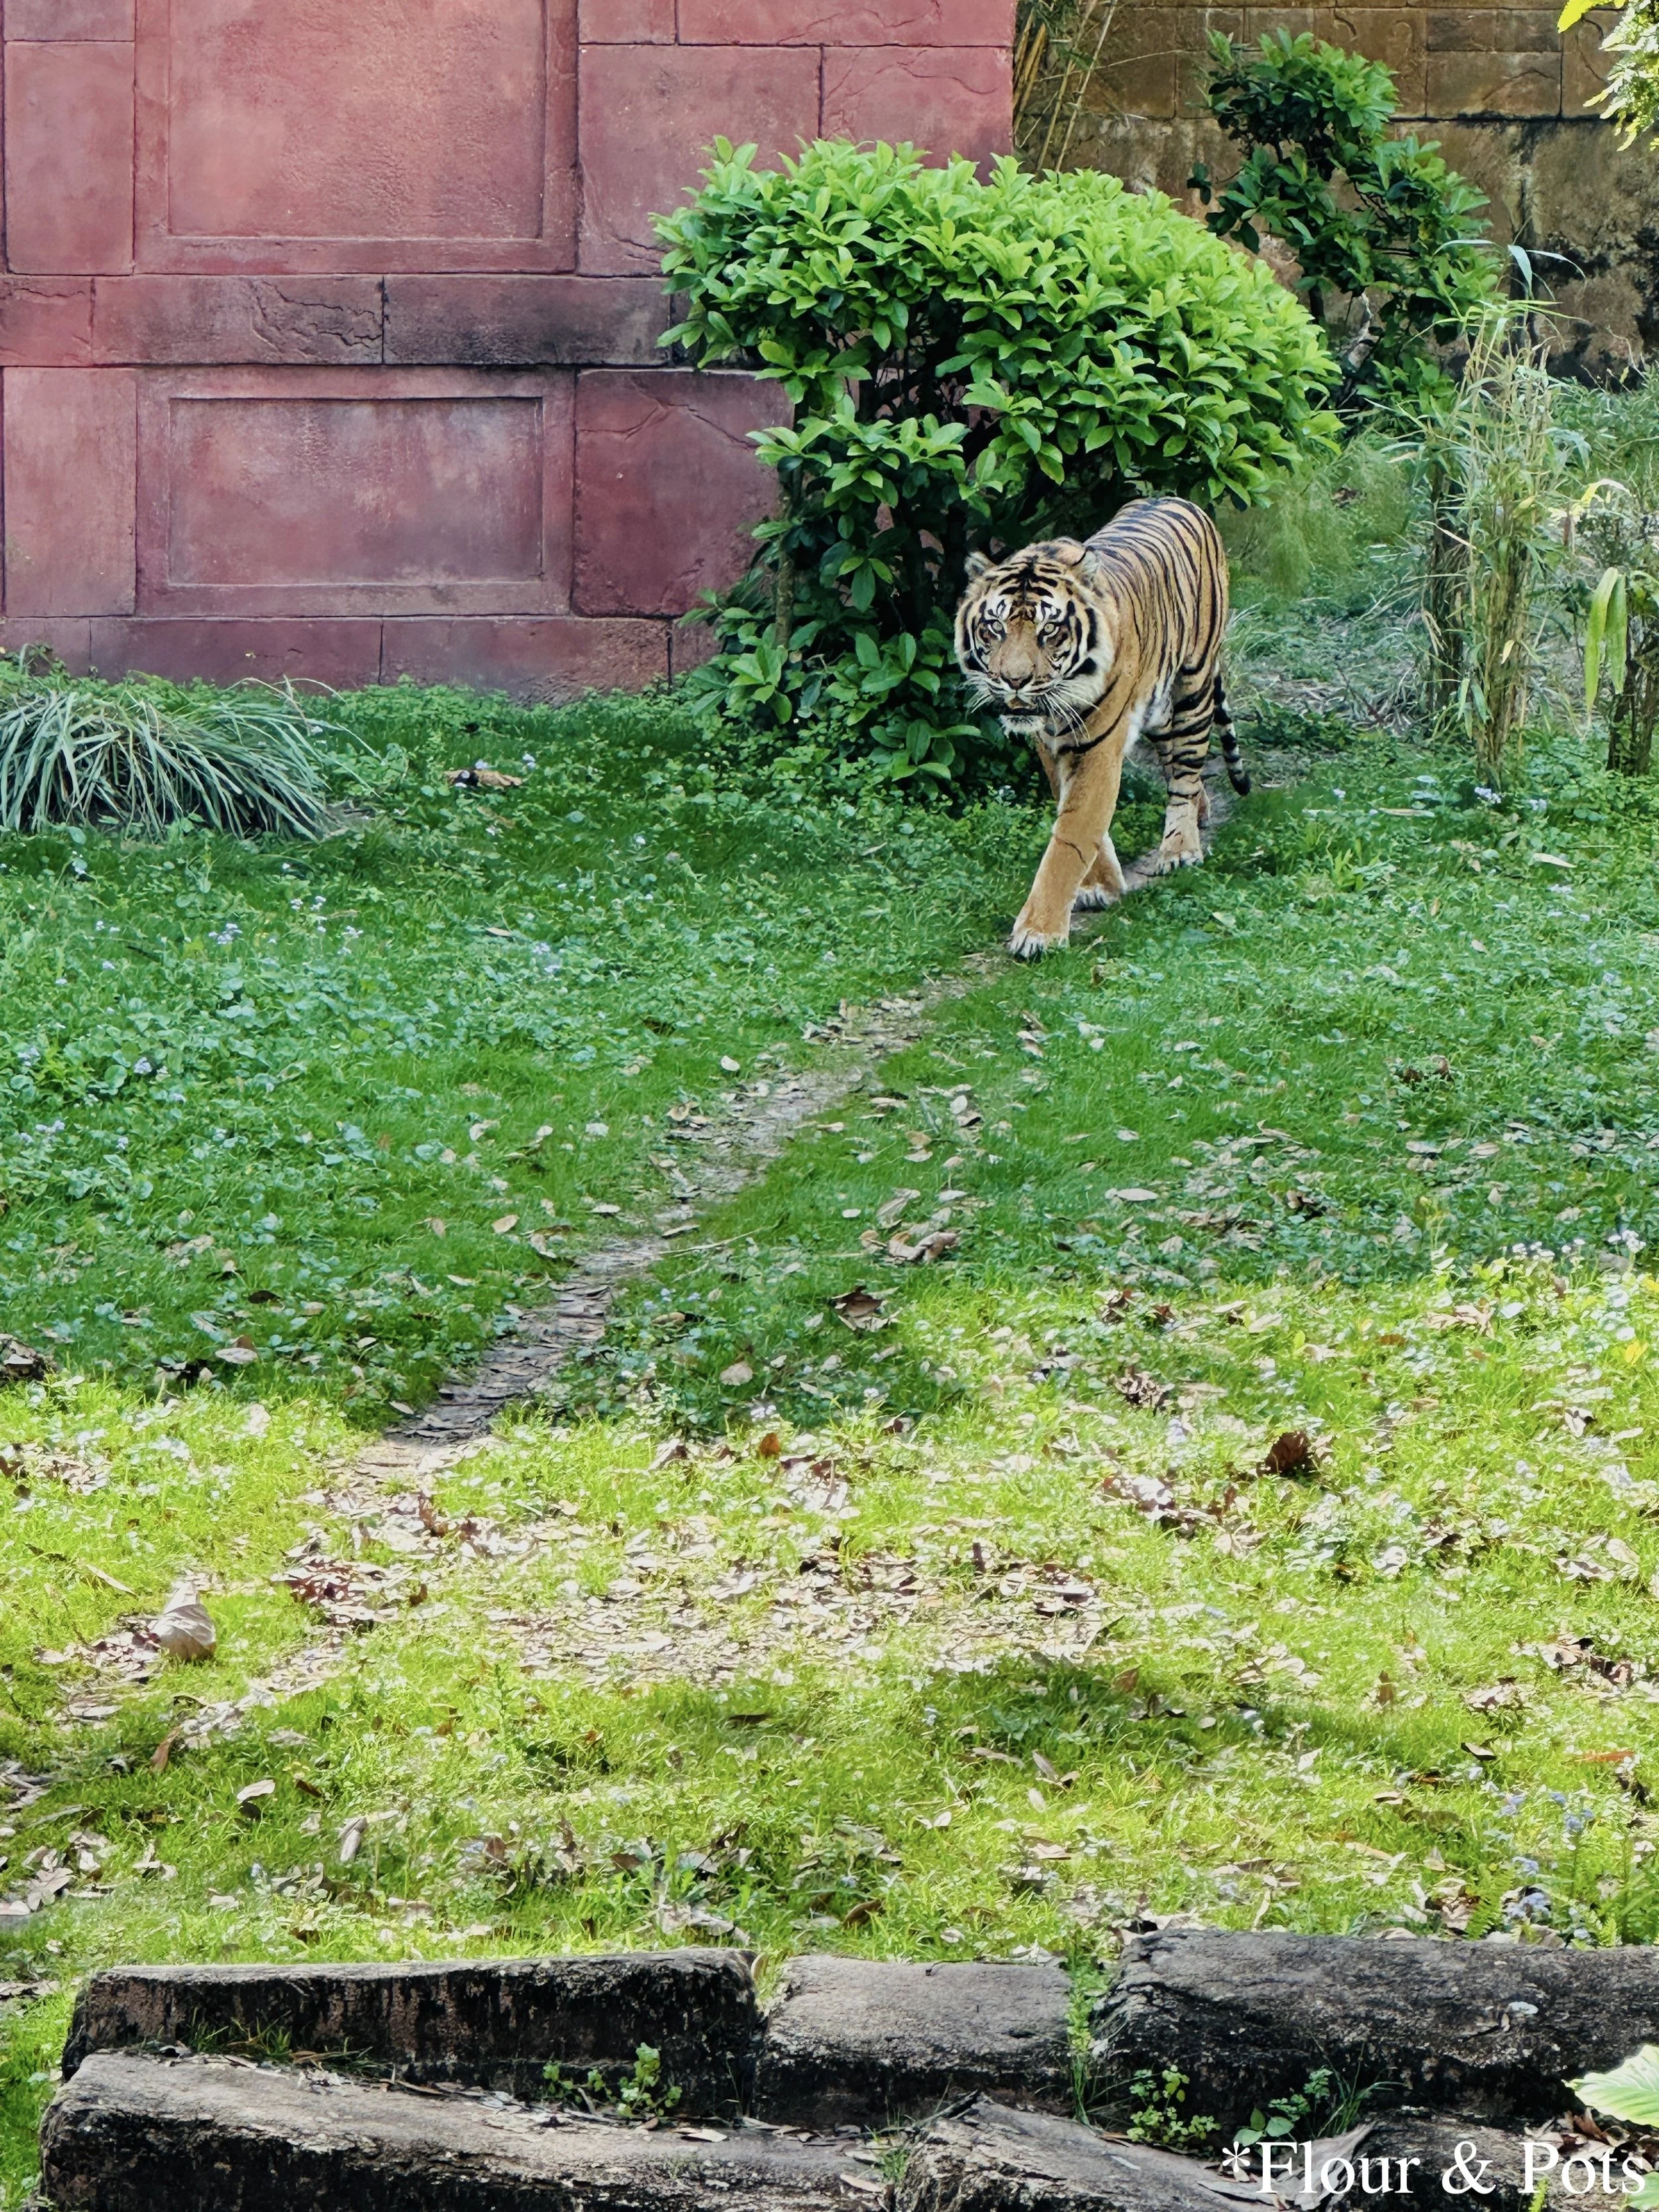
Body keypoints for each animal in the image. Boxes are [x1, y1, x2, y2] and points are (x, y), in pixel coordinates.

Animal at [954, 495, 1248, 959]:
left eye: (1049, 630)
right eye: (995, 627)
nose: (1014, 680)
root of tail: (1176, 498)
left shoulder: (1097, 747)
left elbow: (1072, 837)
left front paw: (1038, 933)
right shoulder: (1049, 745)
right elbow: (1081, 820)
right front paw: (1100, 885)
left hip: (1194, 682)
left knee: (1186, 769)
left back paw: (1181, 848)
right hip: (1157, 706)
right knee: (1175, 761)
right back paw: (1199, 814)